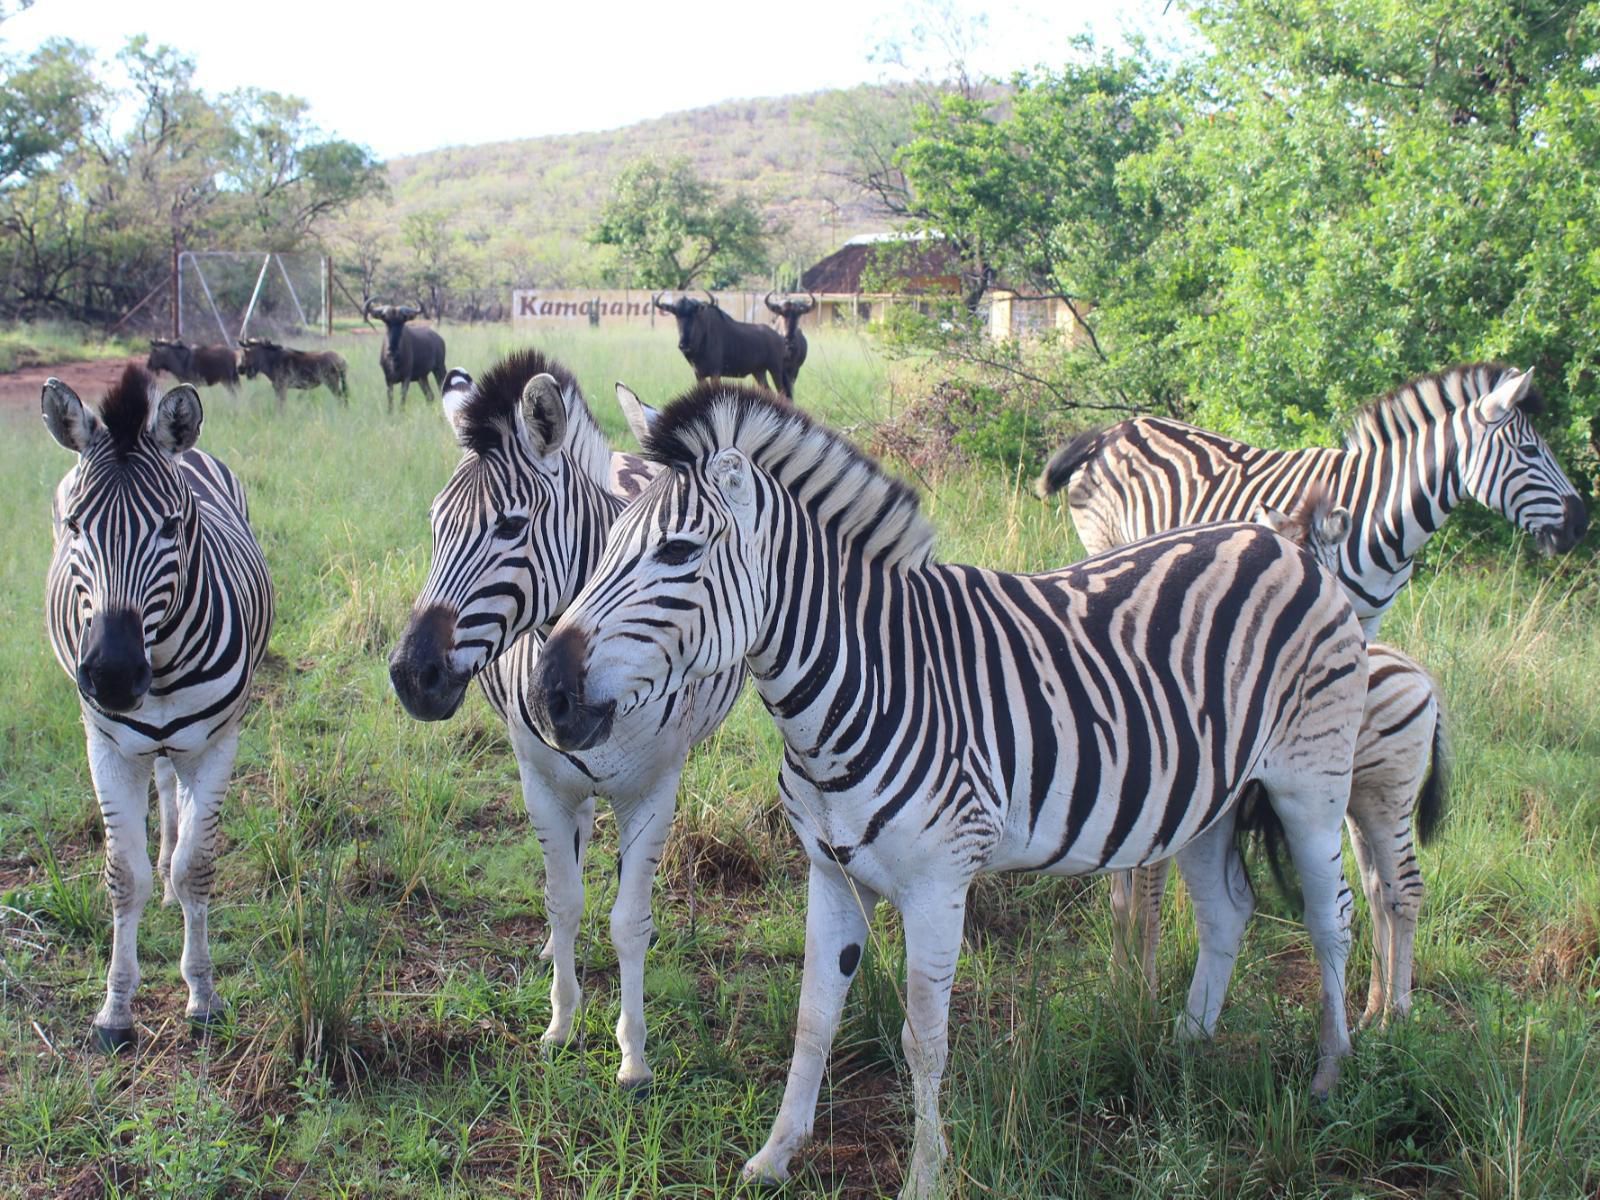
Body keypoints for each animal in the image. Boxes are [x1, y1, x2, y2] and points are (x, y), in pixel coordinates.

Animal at [39, 369, 275, 1049]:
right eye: (76, 525)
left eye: (171, 527)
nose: (114, 677)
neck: (161, 661)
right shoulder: (107, 745)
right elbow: (124, 876)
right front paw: (115, 1010)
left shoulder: (218, 742)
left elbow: (198, 866)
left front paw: (203, 996)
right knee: (163, 788)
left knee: (172, 791)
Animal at [387, 347, 742, 1088]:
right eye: (434, 525)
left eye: (510, 527)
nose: (411, 678)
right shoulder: (541, 781)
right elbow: (564, 899)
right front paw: (561, 1023)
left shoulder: (653, 790)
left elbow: (628, 920)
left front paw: (633, 1056)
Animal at [521, 387, 1363, 1200]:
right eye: (606, 546)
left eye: (677, 551)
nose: (548, 694)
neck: (856, 690)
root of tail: (1283, 542)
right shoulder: (829, 872)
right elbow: (813, 1018)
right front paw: (775, 1155)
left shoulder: (939, 885)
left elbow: (923, 1040)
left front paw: (926, 1176)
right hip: (1208, 799)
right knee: (1229, 911)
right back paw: (1188, 1046)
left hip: (1312, 784)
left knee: (1332, 922)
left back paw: (1331, 1077)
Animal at [1036, 361, 1587, 640]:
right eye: (1530, 451)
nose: (1581, 524)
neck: (1380, 515)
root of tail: (1113, 429)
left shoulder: (1370, 619)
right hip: (1103, 539)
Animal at [1120, 486, 1459, 1024]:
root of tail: (1420, 672)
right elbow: (1128, 896)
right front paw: (1123, 982)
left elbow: (1146, 896)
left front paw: (1143, 992)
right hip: (1360, 805)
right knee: (1381, 890)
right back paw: (1372, 1010)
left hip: (1387, 794)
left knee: (1403, 889)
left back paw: (1396, 1014)